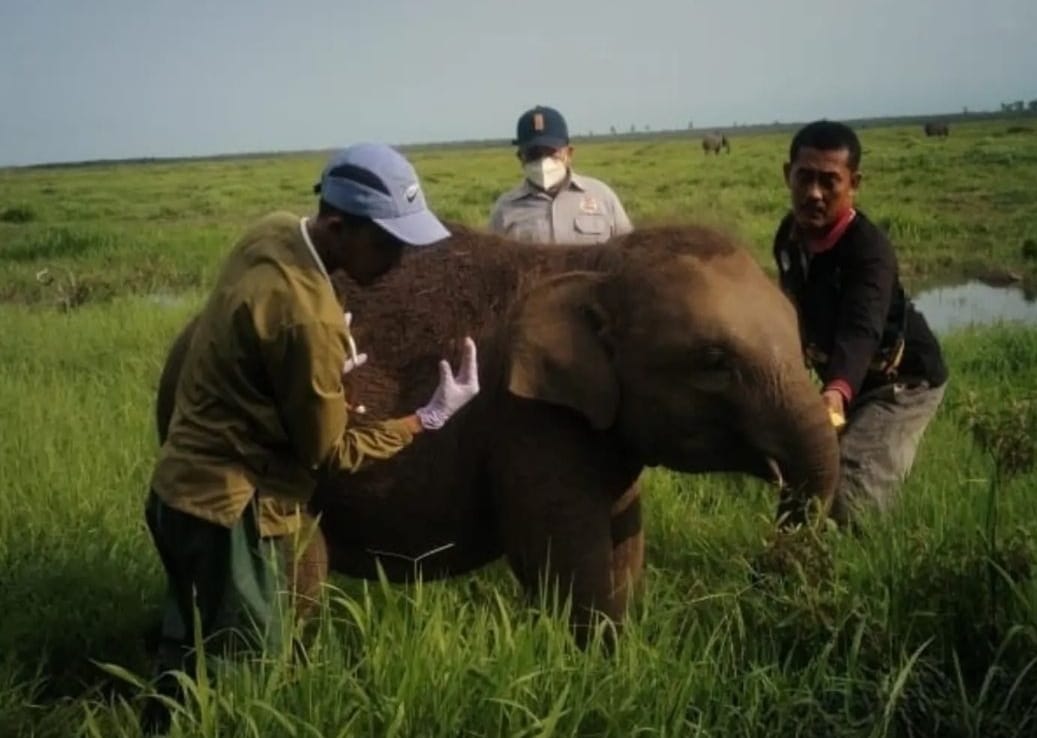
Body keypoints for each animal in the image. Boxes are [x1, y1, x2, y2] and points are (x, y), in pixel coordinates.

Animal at [155, 224, 842, 646]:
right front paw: (599, 663)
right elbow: (565, 560)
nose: (767, 574)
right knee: (295, 576)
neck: (592, 264)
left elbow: (625, 545)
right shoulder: (528, 422)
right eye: (713, 362)